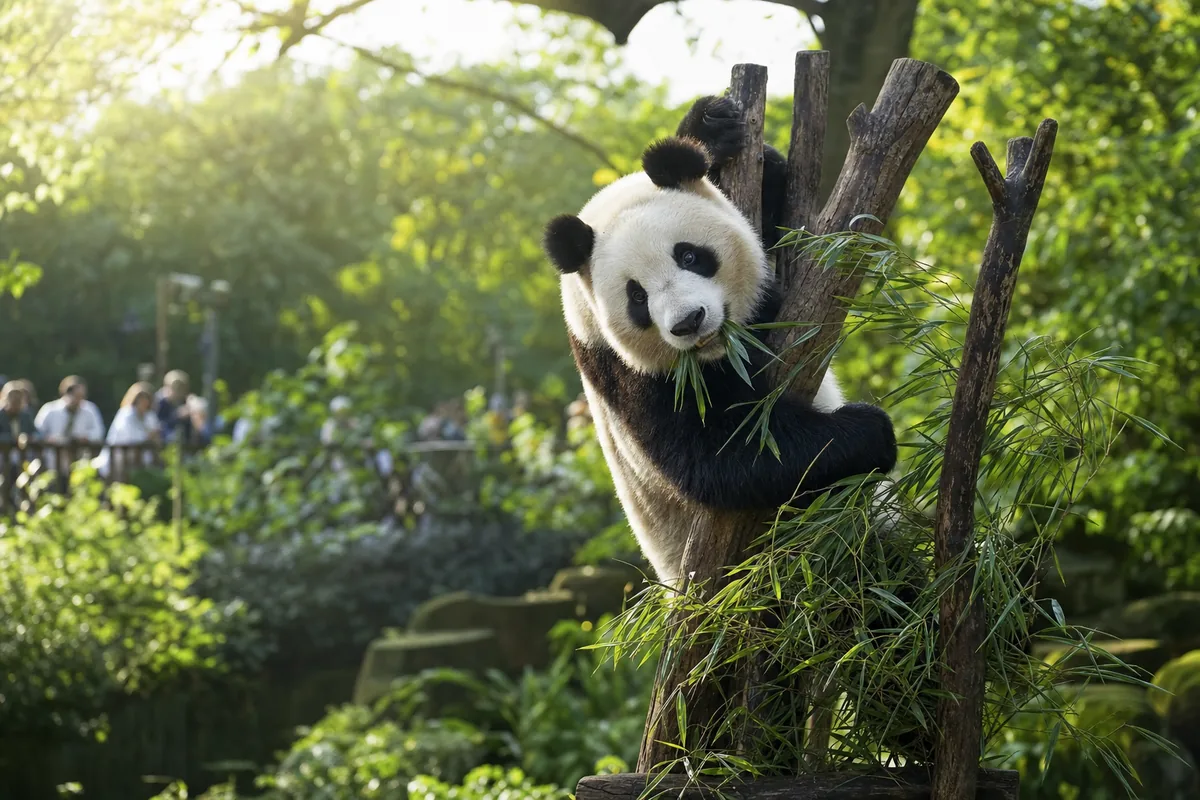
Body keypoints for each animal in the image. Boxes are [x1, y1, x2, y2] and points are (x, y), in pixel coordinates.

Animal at [542, 96, 898, 588]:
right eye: (637, 296)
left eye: (690, 255)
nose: (689, 322)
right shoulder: (624, 369)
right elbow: (723, 451)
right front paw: (869, 431)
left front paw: (711, 125)